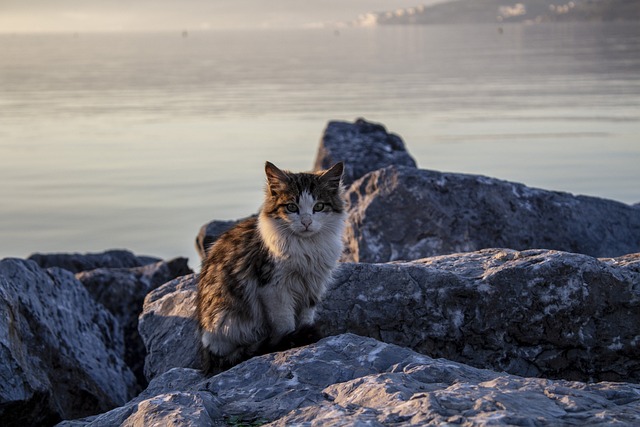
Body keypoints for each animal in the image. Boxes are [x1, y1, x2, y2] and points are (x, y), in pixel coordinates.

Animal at [196, 160, 348, 374]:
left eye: (318, 206)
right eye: (291, 207)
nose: (306, 222)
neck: (306, 248)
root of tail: (206, 356)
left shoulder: (313, 285)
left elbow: (306, 316)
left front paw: (305, 337)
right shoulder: (273, 287)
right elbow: (285, 323)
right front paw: (290, 341)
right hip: (227, 319)